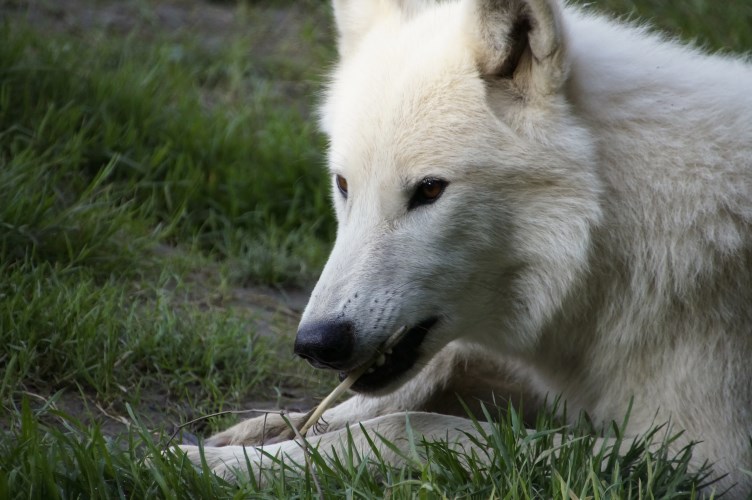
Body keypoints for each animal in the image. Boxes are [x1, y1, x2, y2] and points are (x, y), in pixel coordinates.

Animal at [180, 0, 752, 495]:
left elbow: (409, 425)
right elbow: (437, 368)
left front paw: (221, 464)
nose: (317, 343)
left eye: (430, 190)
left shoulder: (699, 463)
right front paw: (262, 434)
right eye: (344, 185)